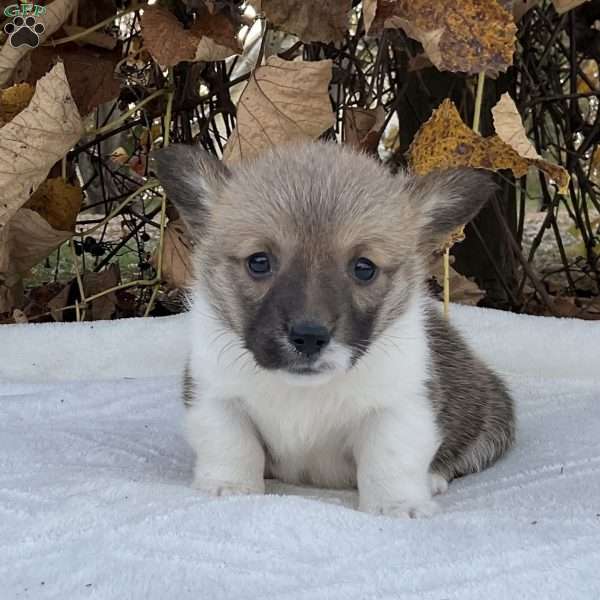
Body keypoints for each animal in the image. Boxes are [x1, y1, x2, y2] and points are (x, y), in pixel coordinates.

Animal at [155, 141, 516, 516]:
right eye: (259, 262)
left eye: (364, 268)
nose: (309, 338)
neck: (304, 390)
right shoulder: (217, 398)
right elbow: (232, 446)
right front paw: (230, 488)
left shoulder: (397, 408)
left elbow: (389, 461)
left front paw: (397, 506)